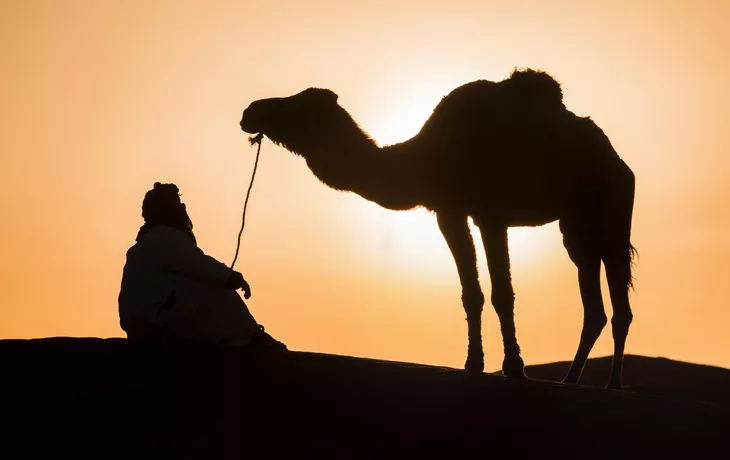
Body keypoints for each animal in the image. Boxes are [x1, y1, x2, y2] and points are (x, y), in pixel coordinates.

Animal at [242, 68, 636, 388]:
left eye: (299, 106)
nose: (250, 112)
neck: (426, 157)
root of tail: (617, 160)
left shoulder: (490, 214)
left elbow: (502, 293)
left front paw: (515, 367)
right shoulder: (448, 211)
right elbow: (471, 293)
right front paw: (473, 363)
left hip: (612, 210)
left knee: (619, 300)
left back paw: (613, 384)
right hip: (577, 227)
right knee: (594, 301)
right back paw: (571, 379)